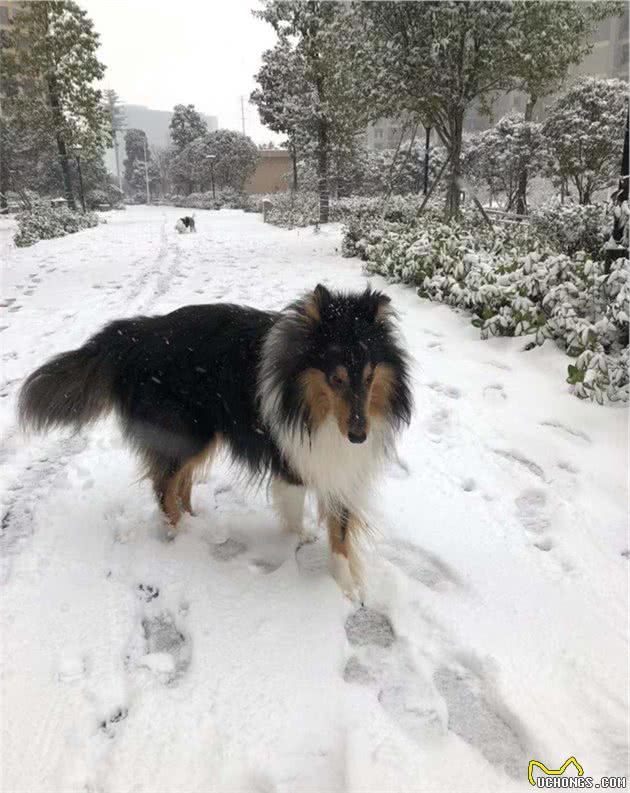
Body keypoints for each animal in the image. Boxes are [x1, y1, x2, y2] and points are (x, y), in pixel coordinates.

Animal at [18, 286, 414, 592]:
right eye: (336, 377)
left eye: (369, 376)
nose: (358, 436)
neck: (313, 407)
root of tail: (137, 333)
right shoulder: (295, 459)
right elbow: (295, 510)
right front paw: (299, 540)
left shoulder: (344, 466)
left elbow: (341, 530)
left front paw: (347, 587)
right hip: (187, 433)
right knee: (164, 486)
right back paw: (181, 533)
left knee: (181, 484)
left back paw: (194, 520)